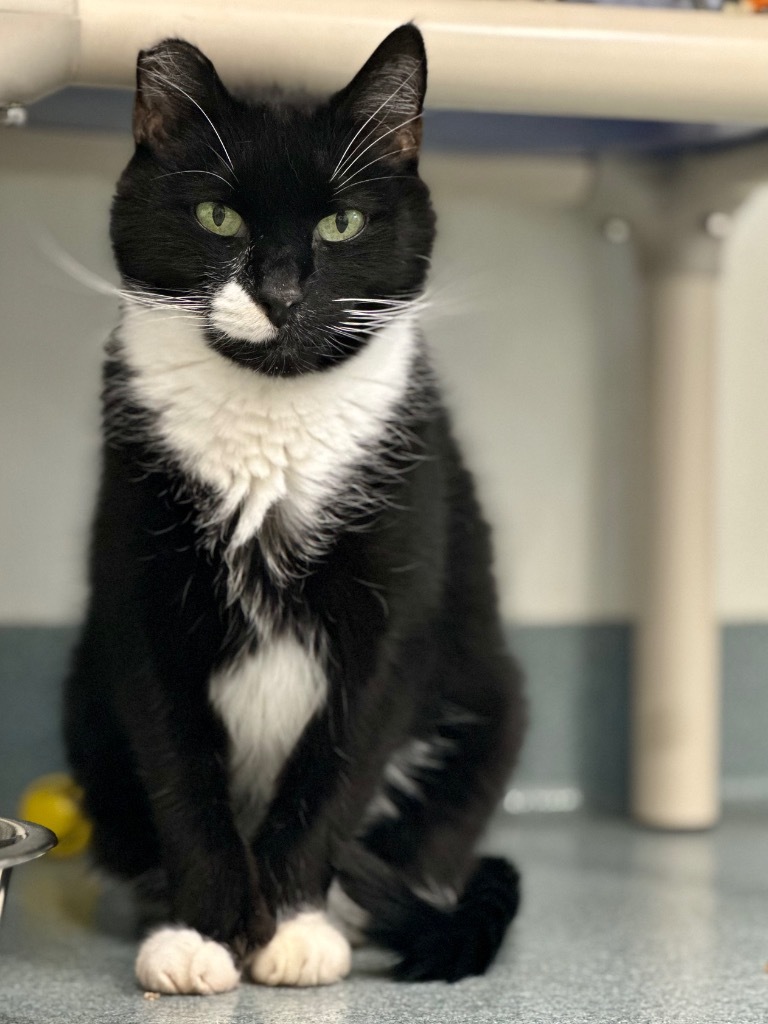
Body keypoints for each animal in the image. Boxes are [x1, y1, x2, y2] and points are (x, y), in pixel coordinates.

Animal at [63, 24, 528, 991]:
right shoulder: (140, 596)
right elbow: (179, 766)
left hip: (488, 705)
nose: (279, 291)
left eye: (339, 222)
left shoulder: (398, 605)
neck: (269, 421)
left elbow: (338, 765)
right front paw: (203, 933)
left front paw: (288, 927)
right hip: (85, 705)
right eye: (219, 218)